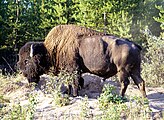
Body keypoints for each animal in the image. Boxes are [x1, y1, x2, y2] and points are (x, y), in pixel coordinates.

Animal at [17, 24, 147, 97]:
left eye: (26, 61)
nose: (23, 73)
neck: (49, 50)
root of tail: (134, 45)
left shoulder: (74, 70)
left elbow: (75, 83)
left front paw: (75, 95)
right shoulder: (69, 72)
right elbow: (71, 83)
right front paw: (69, 93)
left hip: (123, 70)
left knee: (125, 83)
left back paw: (120, 97)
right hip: (135, 71)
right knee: (140, 82)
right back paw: (144, 99)